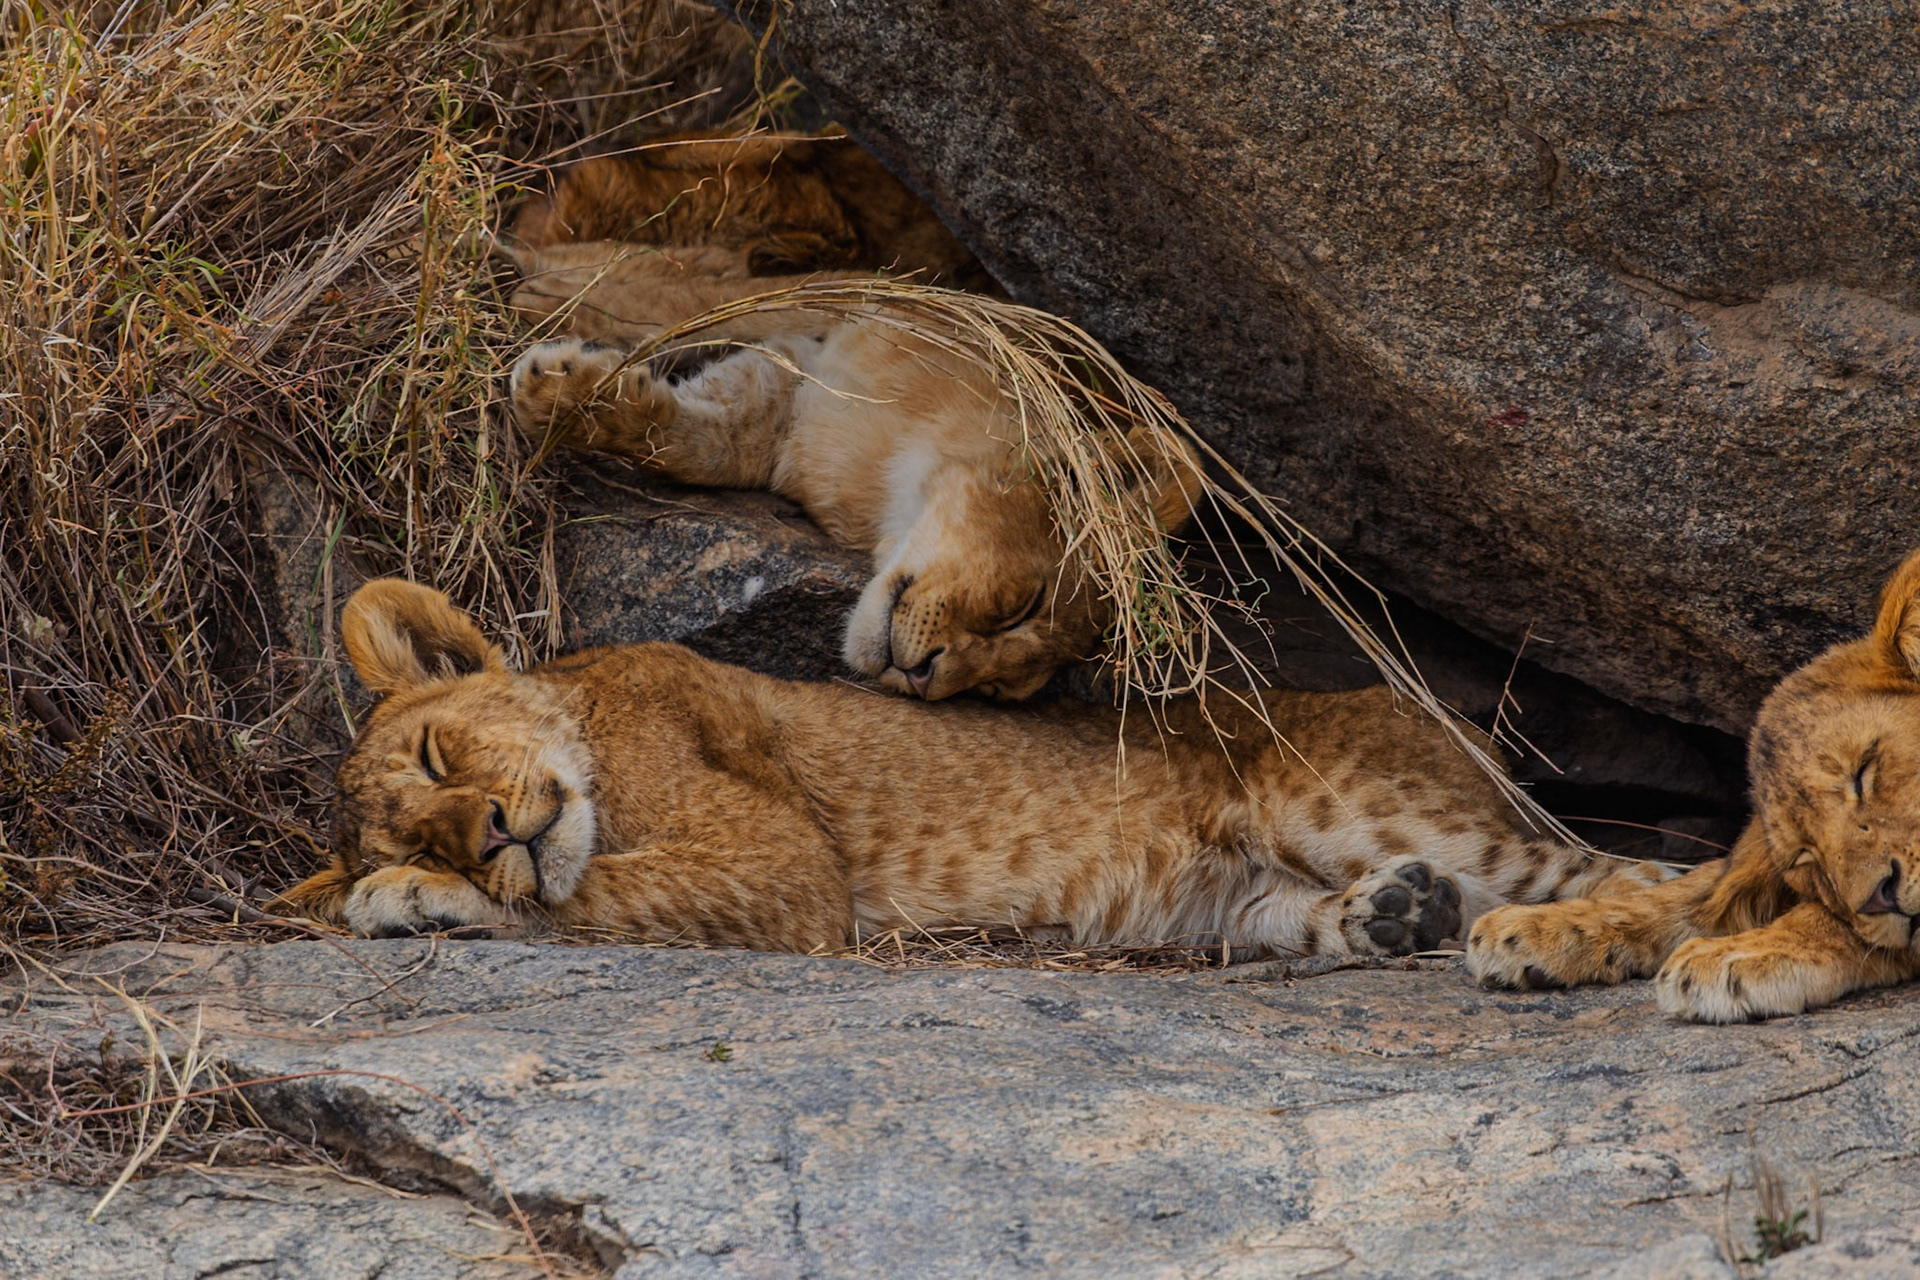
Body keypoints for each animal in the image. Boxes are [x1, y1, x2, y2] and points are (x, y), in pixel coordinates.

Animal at [275, 579, 1671, 951]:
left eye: (438, 752)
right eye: (420, 816)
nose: (487, 833)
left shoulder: (786, 867)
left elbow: (592, 897)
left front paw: (418, 900)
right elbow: (572, 890)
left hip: (1345, 794)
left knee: (1617, 868)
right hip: (1232, 898)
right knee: (1310, 913)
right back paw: (1394, 916)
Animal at [507, 241, 1204, 701]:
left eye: (1000, 689)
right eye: (1021, 606)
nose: (922, 680)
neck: (896, 472)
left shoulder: (781, 406)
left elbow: (696, 443)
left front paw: (567, 396)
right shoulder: (848, 303)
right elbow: (701, 307)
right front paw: (556, 369)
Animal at [1467, 551, 1920, 1021]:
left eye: (1862, 772)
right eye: (1805, 860)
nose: (1882, 898)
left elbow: (1827, 920)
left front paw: (1733, 954)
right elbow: (1683, 892)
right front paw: (1533, 925)